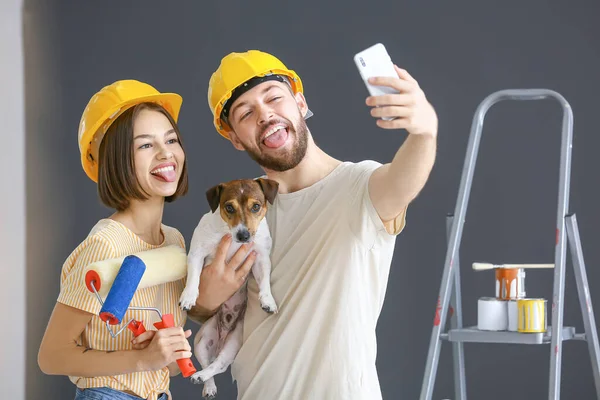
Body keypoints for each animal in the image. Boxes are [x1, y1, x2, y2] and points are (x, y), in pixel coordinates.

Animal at [178, 179, 278, 400]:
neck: (230, 236)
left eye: (256, 206)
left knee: (220, 364)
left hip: (234, 341)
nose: (244, 235)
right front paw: (189, 296)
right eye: (229, 207)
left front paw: (268, 301)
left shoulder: (260, 258)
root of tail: (221, 339)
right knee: (208, 363)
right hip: (202, 341)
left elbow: (265, 282)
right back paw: (205, 383)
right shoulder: (197, 253)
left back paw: (204, 376)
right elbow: (194, 277)